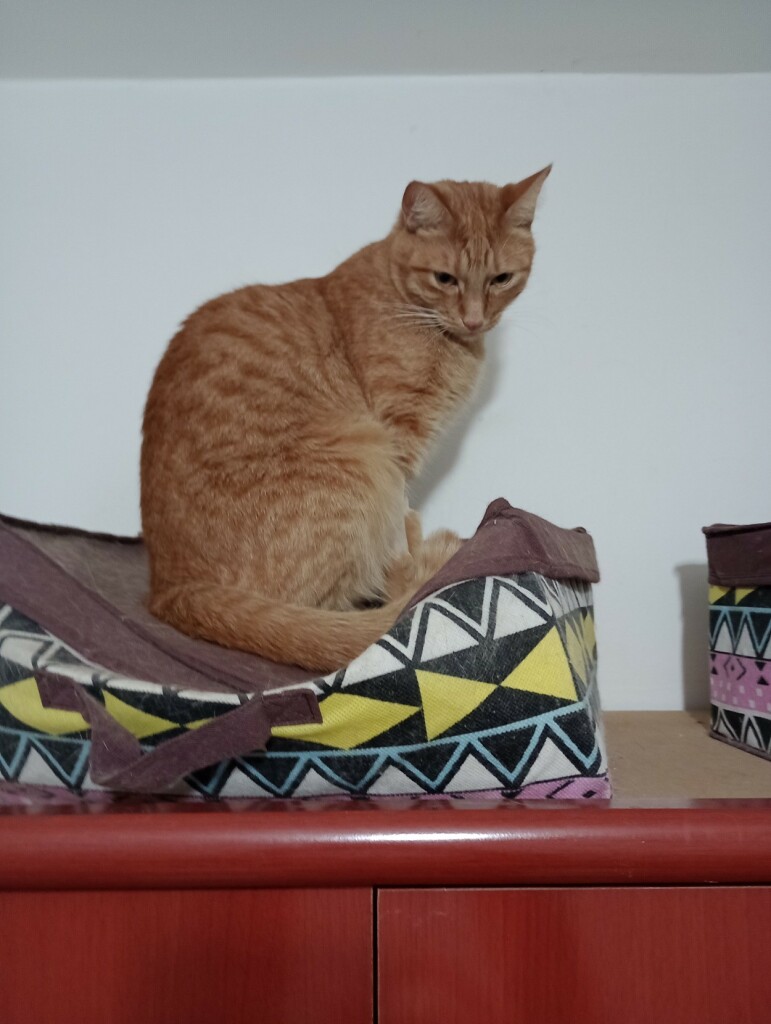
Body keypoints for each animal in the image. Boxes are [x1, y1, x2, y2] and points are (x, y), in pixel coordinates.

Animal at [138, 167, 548, 671]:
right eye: (445, 278)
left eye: (501, 279)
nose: (475, 320)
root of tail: (169, 587)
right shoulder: (396, 444)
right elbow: (400, 533)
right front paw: (415, 554)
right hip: (362, 456)